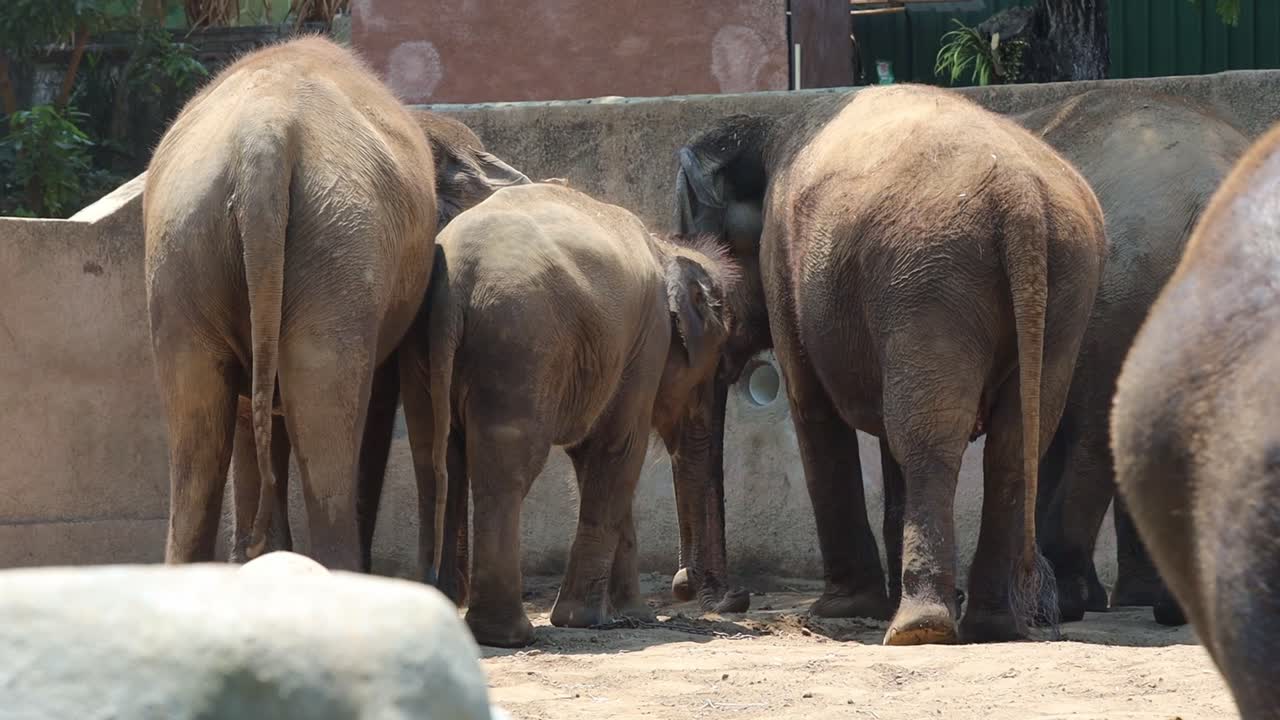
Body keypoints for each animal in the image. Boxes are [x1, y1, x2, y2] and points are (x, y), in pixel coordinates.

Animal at [144, 36, 526, 572]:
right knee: (331, 422)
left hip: (186, 245)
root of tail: (263, 141)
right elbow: (381, 396)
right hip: (337, 243)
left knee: (199, 434)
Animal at [405, 182, 738, 647]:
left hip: (424, 345)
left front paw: (632, 616)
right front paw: (586, 620)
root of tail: (456, 279)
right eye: (718, 370)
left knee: (434, 466)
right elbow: (618, 449)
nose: (683, 586)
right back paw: (509, 635)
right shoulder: (646, 340)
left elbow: (594, 459)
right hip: (518, 339)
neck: (667, 247)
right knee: (507, 470)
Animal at [674, 83, 1107, 645]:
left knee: (927, 437)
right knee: (1014, 444)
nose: (726, 596)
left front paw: (839, 609)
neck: (767, 132)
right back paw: (994, 627)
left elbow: (811, 406)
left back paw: (919, 630)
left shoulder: (784, 266)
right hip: (1063, 286)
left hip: (931, 277)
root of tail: (1022, 201)